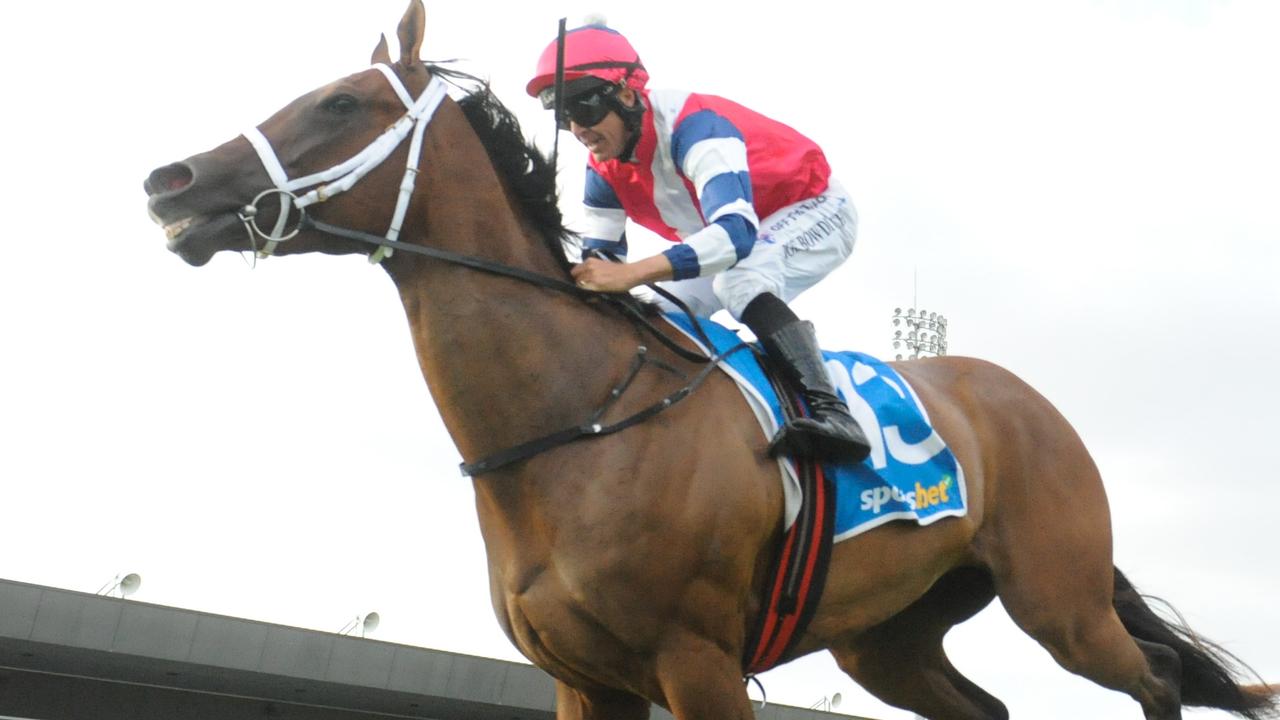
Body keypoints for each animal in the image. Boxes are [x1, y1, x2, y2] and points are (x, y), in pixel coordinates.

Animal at [145, 2, 1274, 712]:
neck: (576, 424)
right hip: (890, 634)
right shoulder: (585, 681)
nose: (170, 180)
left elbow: (729, 234)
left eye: (339, 103)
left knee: (1155, 679)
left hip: (1058, 599)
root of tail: (1028, 402)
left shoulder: (697, 662)